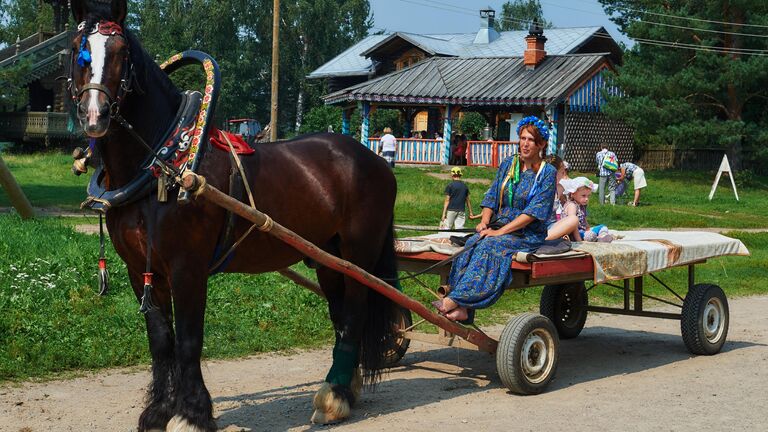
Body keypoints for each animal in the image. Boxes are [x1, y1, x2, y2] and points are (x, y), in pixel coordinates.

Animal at [69, 1, 400, 430]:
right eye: (77, 48)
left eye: (122, 52)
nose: (95, 114)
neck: (165, 162)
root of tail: (374, 160)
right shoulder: (140, 268)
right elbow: (160, 340)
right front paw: (159, 411)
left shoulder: (187, 268)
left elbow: (188, 340)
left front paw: (192, 414)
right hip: (329, 259)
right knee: (342, 318)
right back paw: (342, 387)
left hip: (358, 255)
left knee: (356, 315)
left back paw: (336, 398)